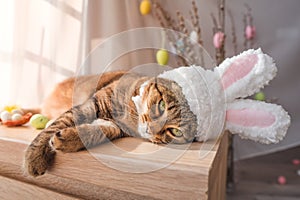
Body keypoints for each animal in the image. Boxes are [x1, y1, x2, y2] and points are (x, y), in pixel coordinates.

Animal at [24, 70, 198, 177]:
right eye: (162, 105)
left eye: (176, 132)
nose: (151, 130)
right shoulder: (92, 105)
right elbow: (57, 125)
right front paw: (35, 156)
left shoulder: (113, 126)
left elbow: (95, 132)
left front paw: (68, 139)